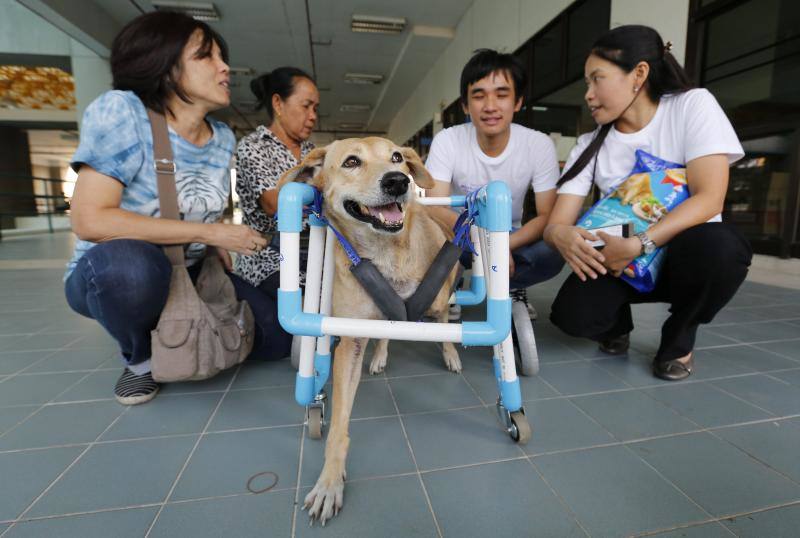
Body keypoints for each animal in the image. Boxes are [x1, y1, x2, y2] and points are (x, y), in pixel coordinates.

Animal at [278, 136, 460, 520]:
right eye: (351, 162)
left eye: (397, 157)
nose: (398, 181)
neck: (386, 254)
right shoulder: (350, 342)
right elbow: (338, 427)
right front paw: (329, 482)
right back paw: (380, 356)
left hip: (439, 301)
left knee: (442, 320)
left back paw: (450, 353)